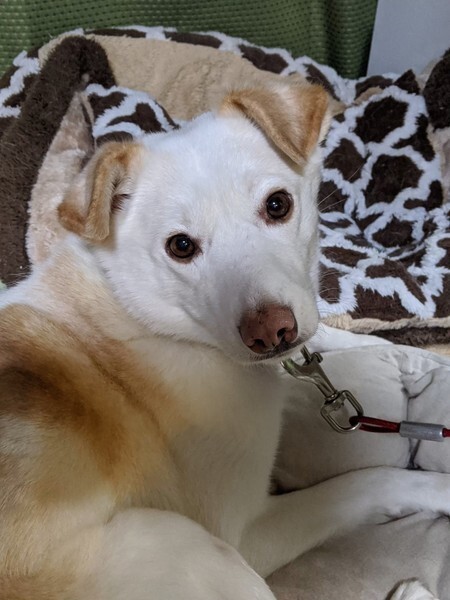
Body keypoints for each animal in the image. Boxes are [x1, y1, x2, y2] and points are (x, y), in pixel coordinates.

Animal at [0, 82, 447, 600]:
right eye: (181, 246)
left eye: (277, 205)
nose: (270, 333)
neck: (142, 312)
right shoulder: (246, 531)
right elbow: (367, 482)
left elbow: (335, 334)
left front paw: (413, 353)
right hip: (187, 542)